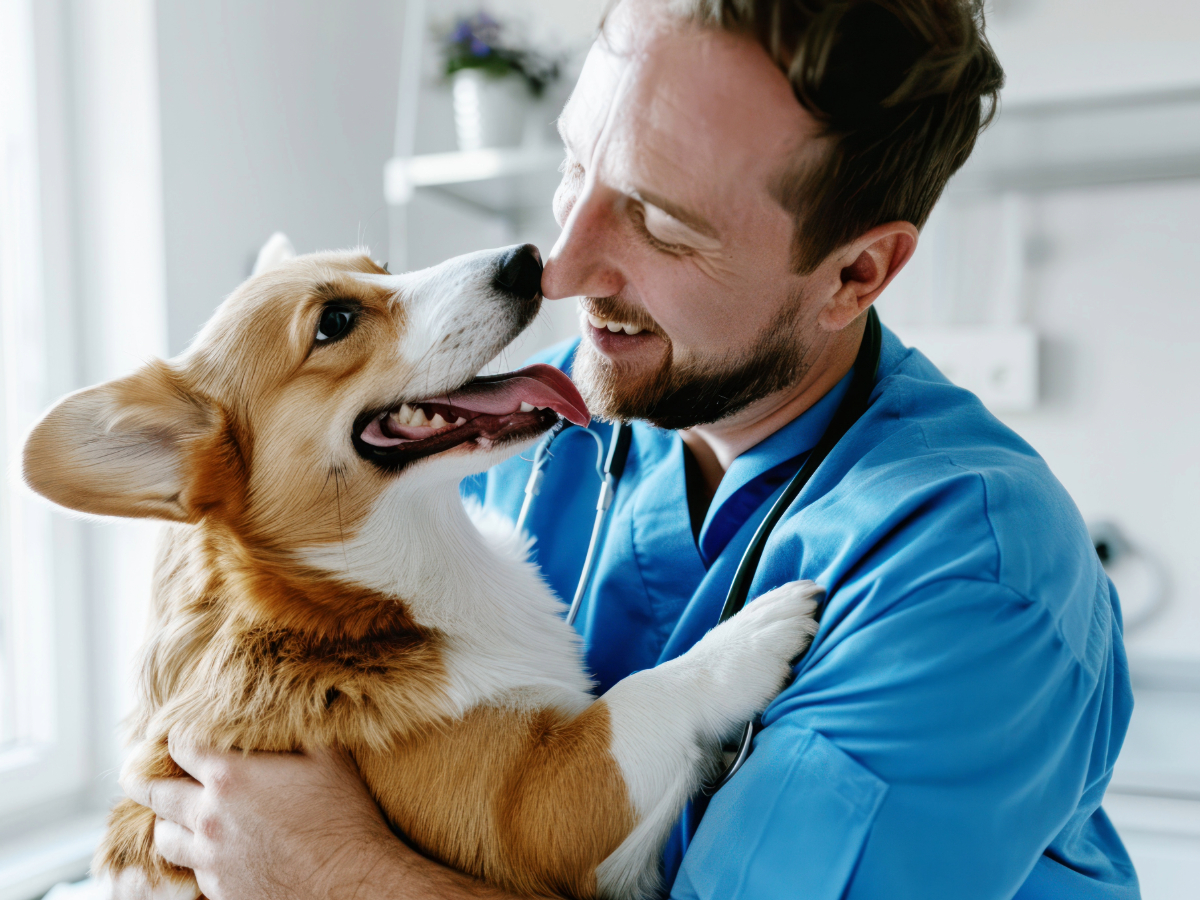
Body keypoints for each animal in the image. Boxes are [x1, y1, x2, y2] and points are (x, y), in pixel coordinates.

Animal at [23, 241, 820, 900]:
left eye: (381, 266)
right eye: (336, 320)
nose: (529, 259)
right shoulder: (529, 806)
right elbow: (639, 699)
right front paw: (752, 634)